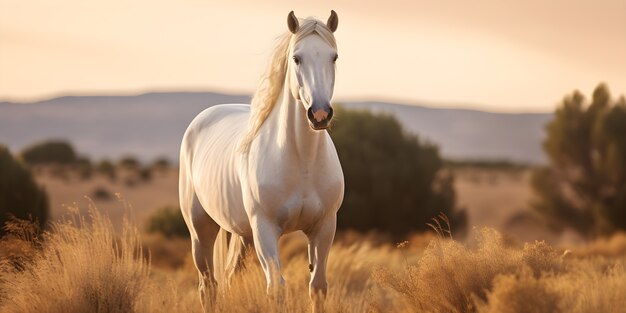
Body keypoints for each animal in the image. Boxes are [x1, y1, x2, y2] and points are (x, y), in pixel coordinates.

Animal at [178, 10, 344, 310]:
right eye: (296, 58)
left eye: (333, 56)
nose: (320, 114)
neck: (301, 162)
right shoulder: (265, 229)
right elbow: (276, 288)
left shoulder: (324, 227)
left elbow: (317, 287)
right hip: (201, 229)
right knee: (208, 286)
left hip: (242, 235)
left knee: (228, 278)